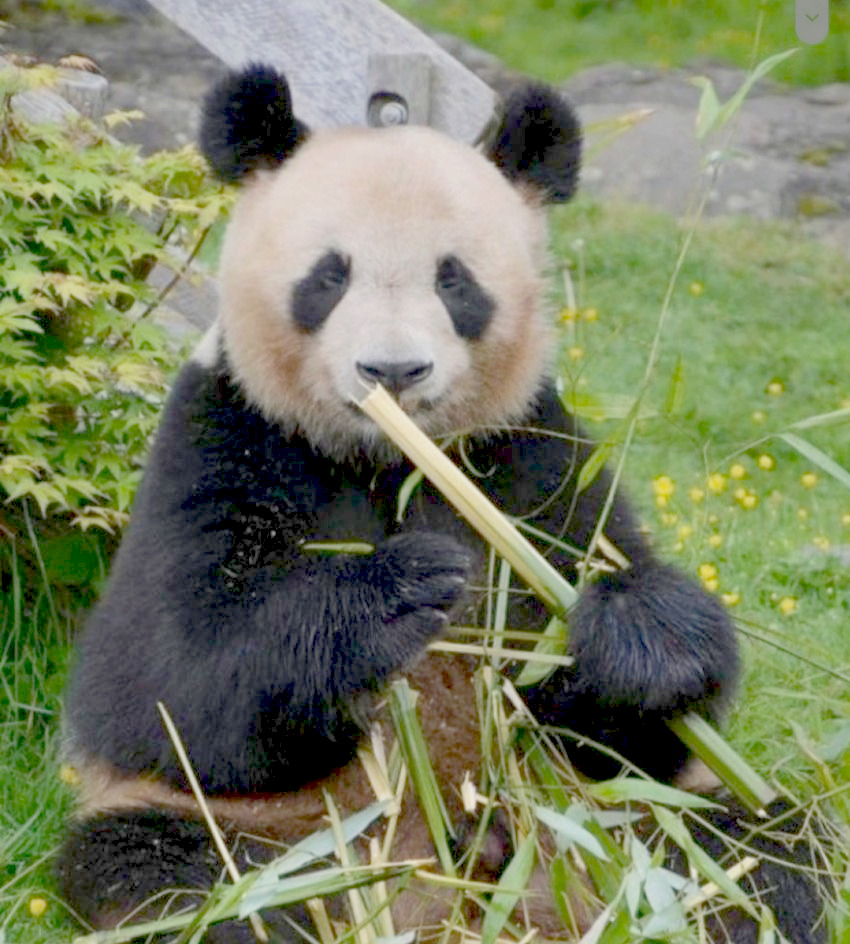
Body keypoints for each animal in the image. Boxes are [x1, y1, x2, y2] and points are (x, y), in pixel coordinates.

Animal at [56, 66, 824, 944]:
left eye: (453, 279)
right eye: (330, 275)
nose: (393, 370)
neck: (394, 461)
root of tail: (448, 907)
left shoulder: (531, 458)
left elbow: (630, 730)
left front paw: (636, 634)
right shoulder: (227, 437)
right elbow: (166, 686)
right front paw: (395, 592)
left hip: (615, 827)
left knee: (759, 853)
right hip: (270, 839)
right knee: (181, 881)